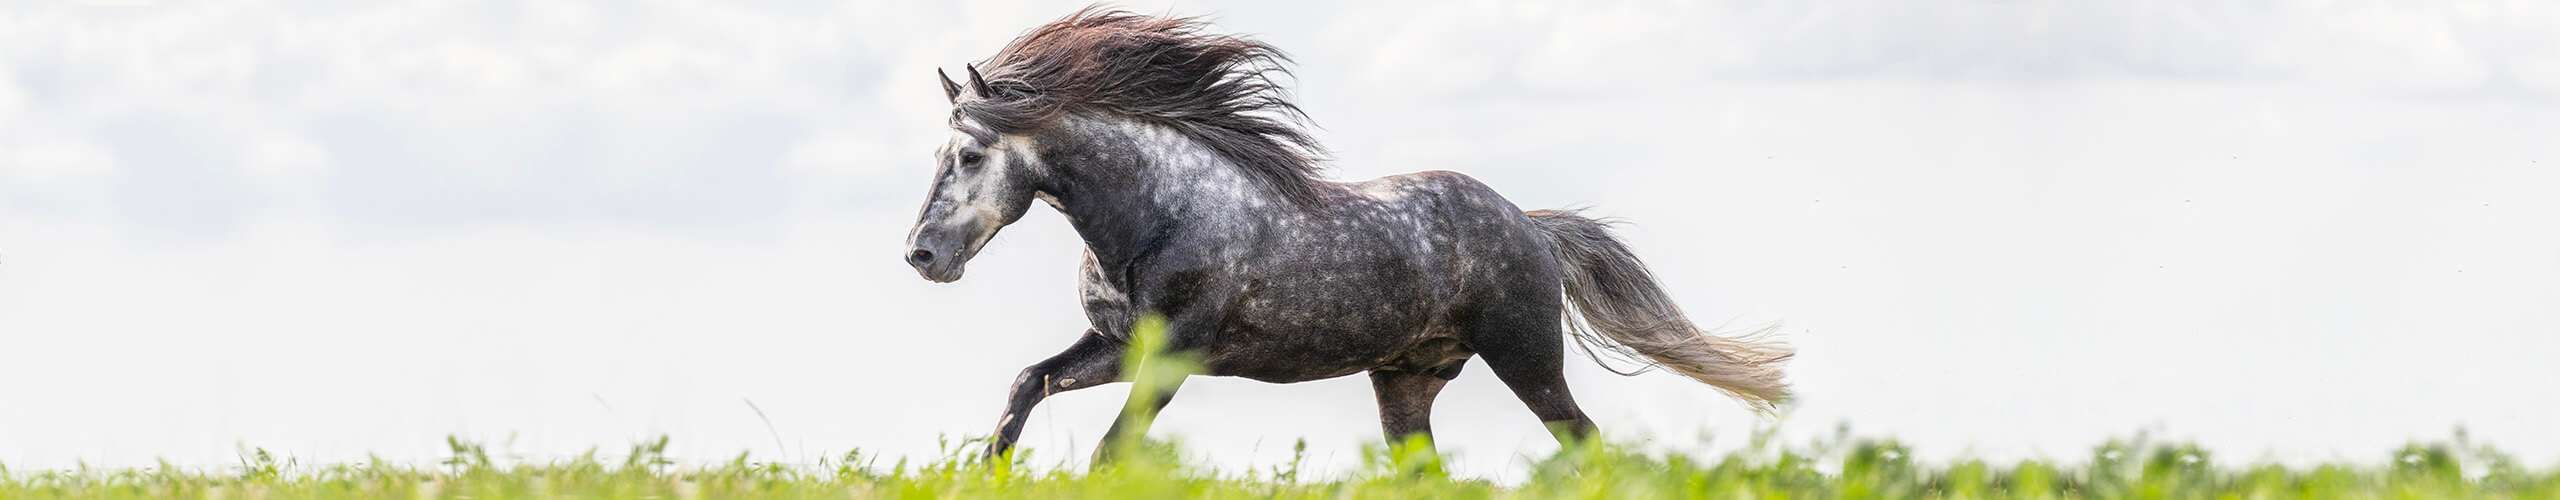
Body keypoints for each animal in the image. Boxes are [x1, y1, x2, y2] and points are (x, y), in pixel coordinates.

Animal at [911, 7, 1792, 461]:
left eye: (969, 154)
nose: (920, 256)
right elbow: (1026, 385)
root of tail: (1533, 231)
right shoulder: (1120, 346)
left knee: (1584, 440)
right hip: (1405, 382)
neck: (1159, 214)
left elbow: (1110, 449)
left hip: (1526, 357)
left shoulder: (1175, 351)